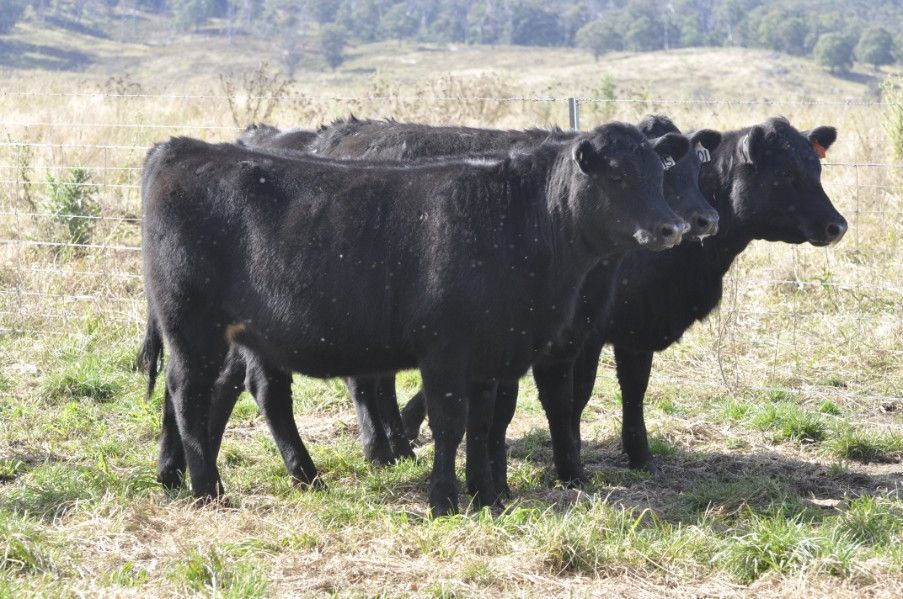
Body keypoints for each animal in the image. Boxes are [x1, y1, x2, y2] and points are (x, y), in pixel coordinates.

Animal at [139, 123, 689, 514]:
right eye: (617, 175)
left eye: (661, 175)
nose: (673, 228)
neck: (515, 221)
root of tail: (181, 147)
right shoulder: (445, 350)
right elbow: (449, 423)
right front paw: (443, 500)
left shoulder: (493, 353)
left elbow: (484, 425)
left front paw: (488, 496)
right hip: (190, 324)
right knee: (188, 393)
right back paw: (208, 488)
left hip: (234, 332)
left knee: (225, 393)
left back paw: (202, 476)